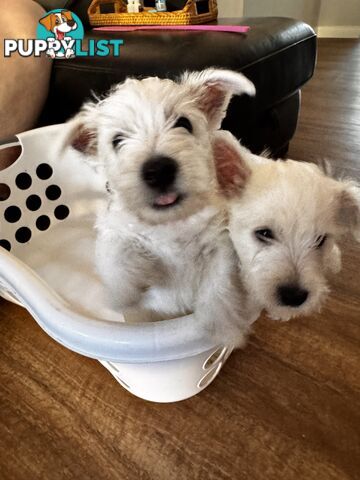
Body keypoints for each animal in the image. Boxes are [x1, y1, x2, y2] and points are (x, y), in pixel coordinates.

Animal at [62, 68, 258, 344]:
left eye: (184, 123)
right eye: (117, 140)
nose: (159, 170)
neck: (171, 222)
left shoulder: (219, 244)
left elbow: (218, 285)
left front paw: (223, 326)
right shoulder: (117, 229)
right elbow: (117, 255)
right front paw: (124, 292)